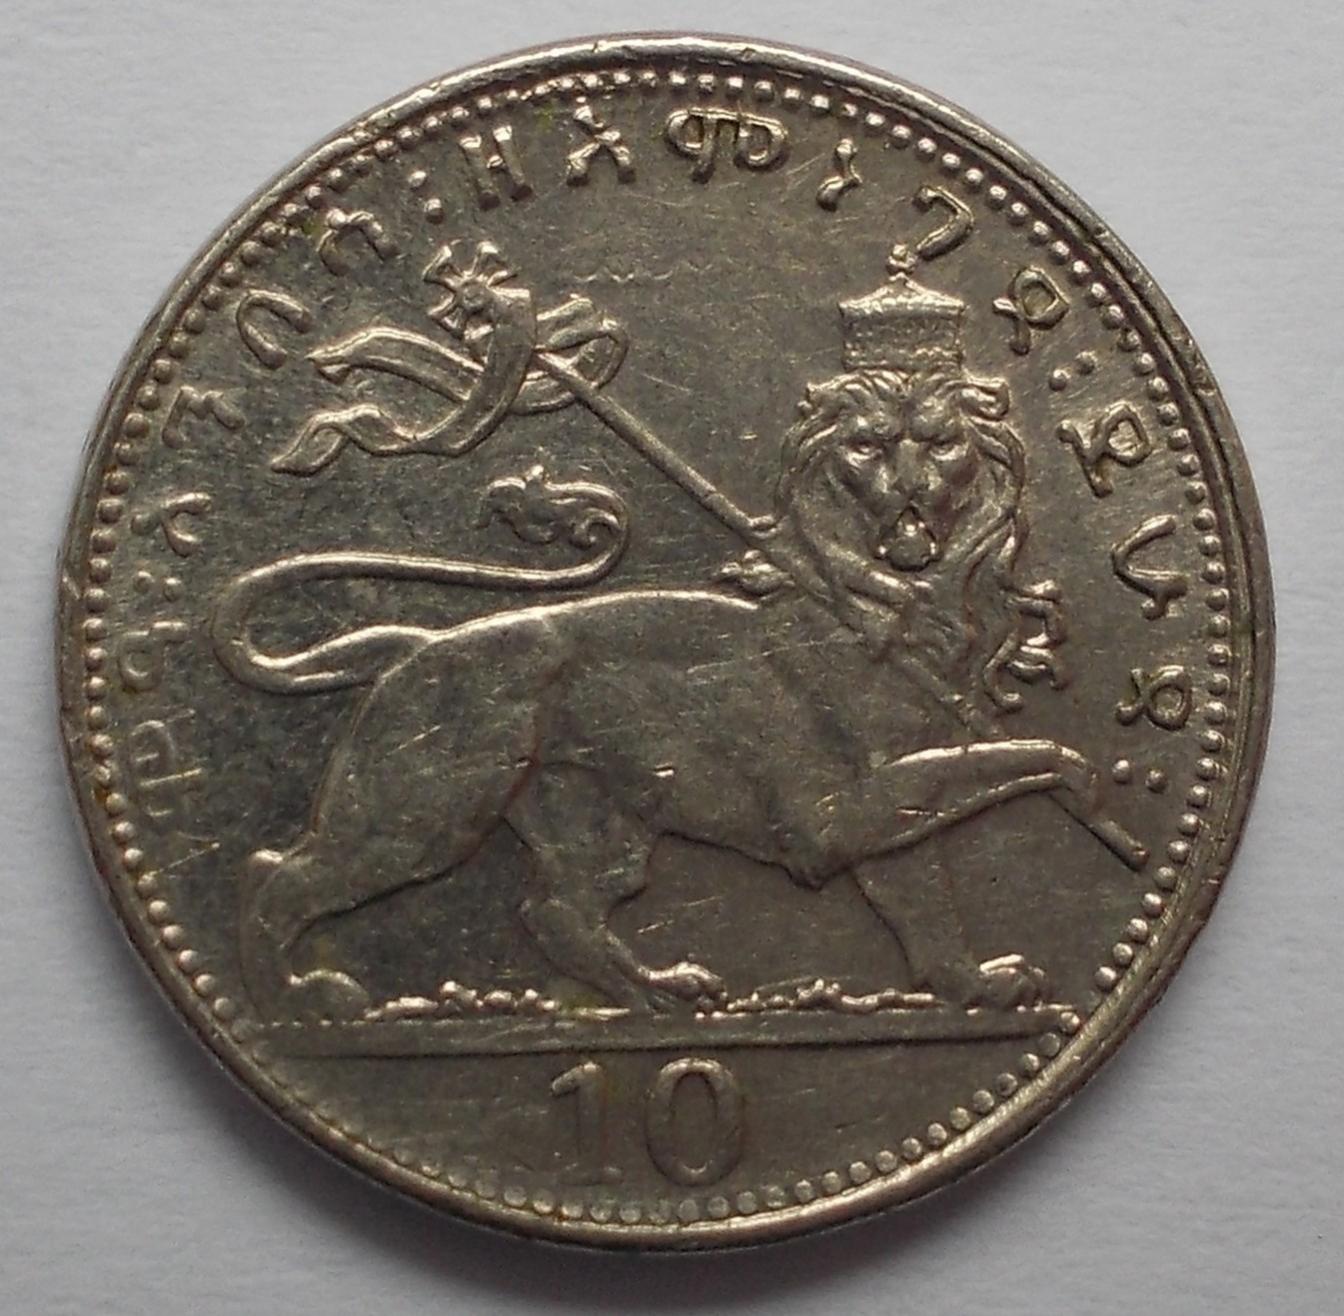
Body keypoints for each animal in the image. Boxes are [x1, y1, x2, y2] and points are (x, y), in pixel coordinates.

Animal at [217, 364, 1113, 1022]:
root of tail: (420, 645)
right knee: (275, 873)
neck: (900, 608)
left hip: (600, 825)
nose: (908, 493)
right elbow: (1012, 758)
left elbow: (926, 903)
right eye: (863, 448)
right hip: (420, 814)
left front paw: (973, 985)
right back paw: (292, 1003)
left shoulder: (883, 819)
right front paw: (1090, 784)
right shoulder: (827, 817)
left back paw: (656, 992)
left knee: (557, 913)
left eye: (940, 442)